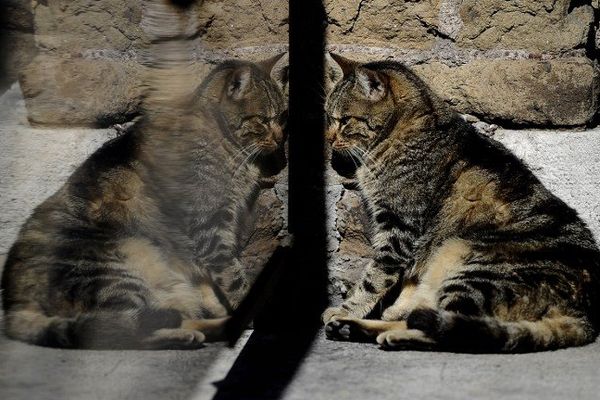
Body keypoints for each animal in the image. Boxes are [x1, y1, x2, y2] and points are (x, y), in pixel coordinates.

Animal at [1, 54, 288, 348]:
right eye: (263, 120)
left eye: (282, 117)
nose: (280, 138)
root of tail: (15, 301)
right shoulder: (210, 227)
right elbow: (232, 278)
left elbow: (211, 285)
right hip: (121, 268)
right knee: (122, 331)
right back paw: (191, 334)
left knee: (166, 316)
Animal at [324, 54, 600, 352]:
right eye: (329, 117)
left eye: (344, 120)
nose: (328, 138)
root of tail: (584, 313)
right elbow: (408, 284)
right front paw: (387, 308)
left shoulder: (399, 228)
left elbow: (374, 278)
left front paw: (346, 308)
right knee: (432, 316)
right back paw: (353, 328)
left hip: (469, 263)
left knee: (451, 330)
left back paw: (367, 329)